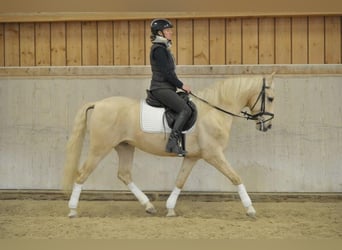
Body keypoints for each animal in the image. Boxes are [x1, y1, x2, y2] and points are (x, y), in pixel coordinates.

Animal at [62, 73, 276, 218]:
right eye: (271, 98)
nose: (267, 126)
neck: (214, 111)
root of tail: (98, 104)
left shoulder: (192, 157)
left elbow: (180, 181)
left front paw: (170, 208)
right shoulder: (213, 154)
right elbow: (235, 177)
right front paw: (250, 209)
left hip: (125, 146)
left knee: (124, 174)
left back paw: (148, 206)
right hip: (100, 148)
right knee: (82, 174)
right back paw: (72, 210)